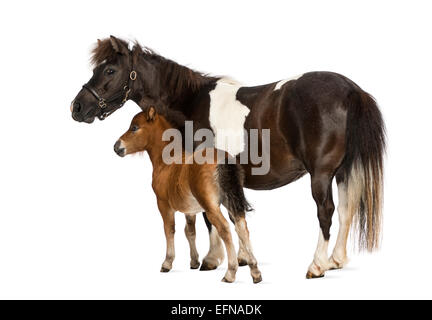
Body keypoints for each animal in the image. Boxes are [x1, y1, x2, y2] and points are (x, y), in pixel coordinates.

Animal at [113, 109, 262, 284]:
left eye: (134, 127)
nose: (116, 147)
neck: (167, 161)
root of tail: (223, 159)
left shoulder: (163, 204)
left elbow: (169, 229)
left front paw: (167, 263)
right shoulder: (189, 210)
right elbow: (190, 231)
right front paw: (194, 262)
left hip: (211, 207)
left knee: (225, 228)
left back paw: (230, 273)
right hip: (230, 200)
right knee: (241, 226)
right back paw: (255, 271)